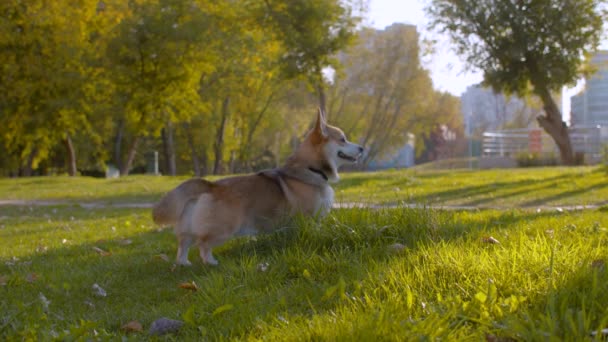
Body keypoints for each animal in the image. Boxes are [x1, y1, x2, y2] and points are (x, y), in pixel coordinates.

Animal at [152, 108, 364, 266]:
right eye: (343, 139)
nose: (362, 148)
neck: (311, 169)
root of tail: (210, 186)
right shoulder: (309, 218)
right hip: (224, 228)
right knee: (202, 244)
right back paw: (211, 262)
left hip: (188, 227)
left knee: (184, 244)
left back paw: (183, 263)